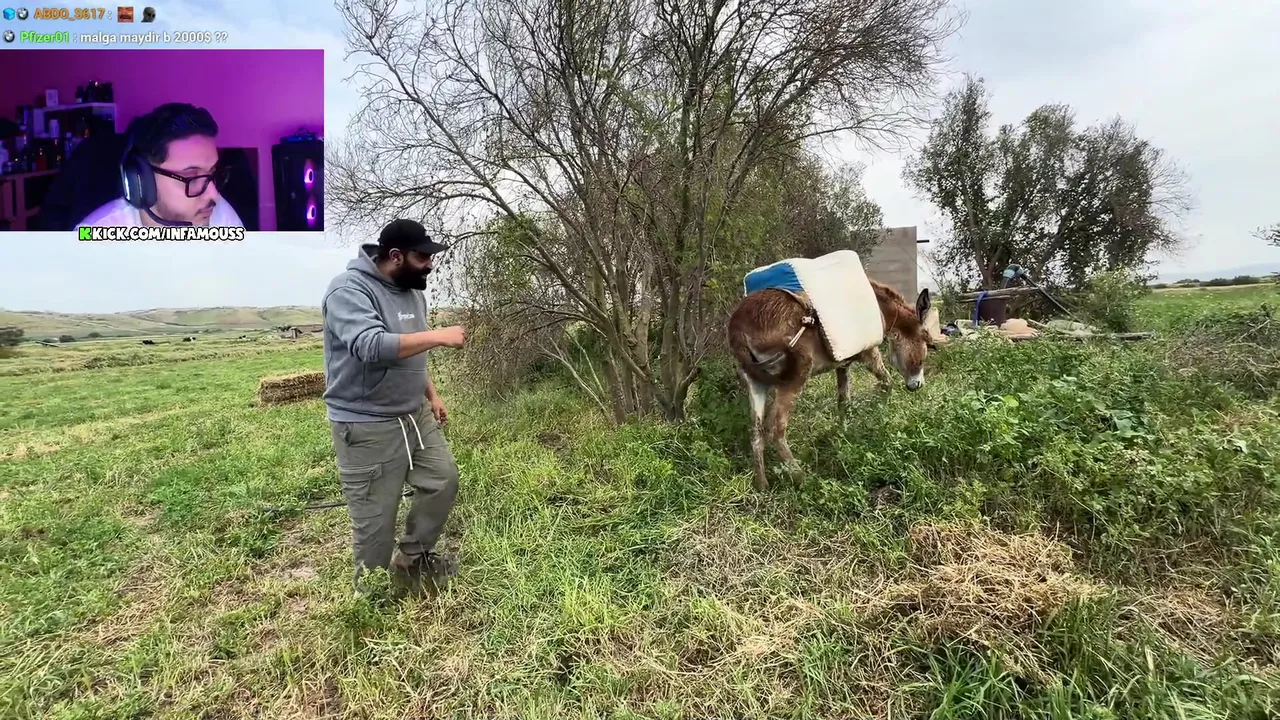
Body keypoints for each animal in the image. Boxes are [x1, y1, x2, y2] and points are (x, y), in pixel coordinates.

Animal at [726, 280, 933, 490]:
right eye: (928, 343)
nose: (917, 385)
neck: (878, 308)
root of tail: (738, 327)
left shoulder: (843, 364)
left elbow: (844, 403)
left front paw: (844, 435)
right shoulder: (869, 353)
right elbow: (887, 383)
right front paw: (879, 417)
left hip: (757, 384)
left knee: (756, 430)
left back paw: (762, 484)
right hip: (794, 378)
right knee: (775, 427)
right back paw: (801, 478)